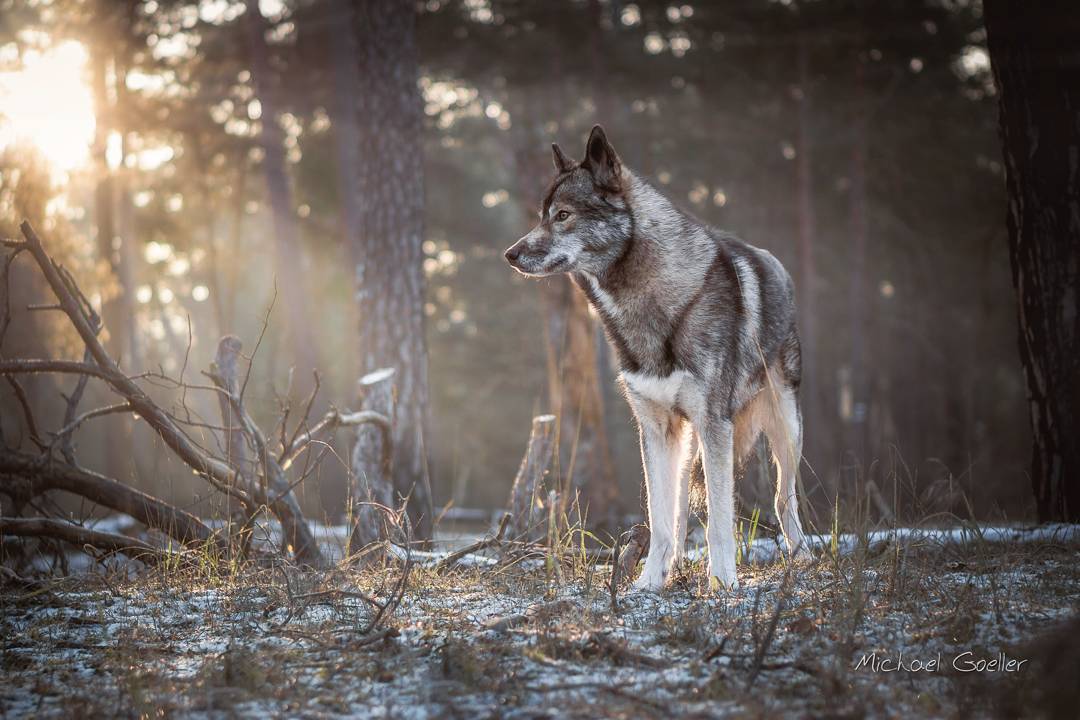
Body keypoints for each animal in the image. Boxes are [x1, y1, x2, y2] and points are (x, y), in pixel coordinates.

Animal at [505, 126, 812, 595]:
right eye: (541, 216)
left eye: (563, 215)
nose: (511, 254)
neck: (650, 306)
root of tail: (779, 267)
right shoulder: (653, 428)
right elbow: (660, 518)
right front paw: (649, 582)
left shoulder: (714, 425)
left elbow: (720, 521)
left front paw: (723, 583)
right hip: (685, 442)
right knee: (682, 507)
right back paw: (677, 564)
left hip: (785, 429)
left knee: (783, 500)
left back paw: (804, 556)